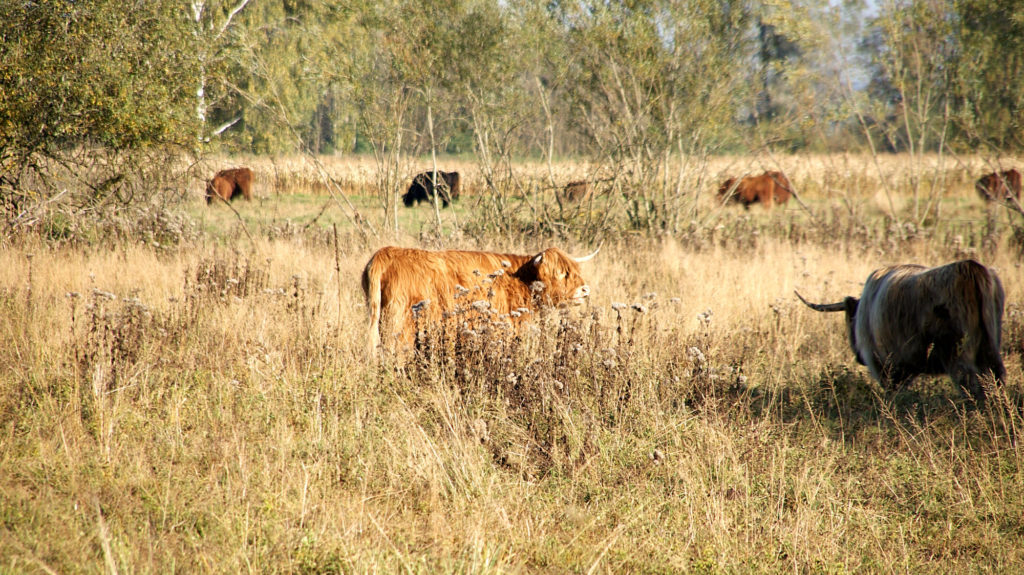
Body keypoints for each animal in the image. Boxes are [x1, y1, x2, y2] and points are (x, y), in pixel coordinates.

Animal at [794, 257, 1003, 401]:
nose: (858, 357)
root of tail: (969, 267)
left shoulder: (882, 363)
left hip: (957, 352)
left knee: (969, 382)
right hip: (989, 348)